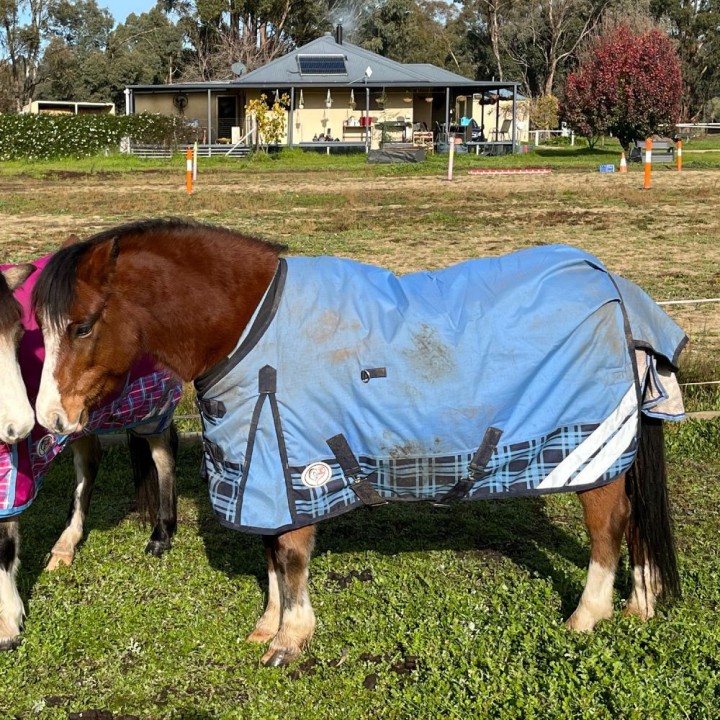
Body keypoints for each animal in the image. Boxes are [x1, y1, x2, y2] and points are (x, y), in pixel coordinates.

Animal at [0, 259, 181, 650]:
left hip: (149, 402)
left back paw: (161, 534)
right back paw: (65, 545)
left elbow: (3, 543)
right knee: (89, 461)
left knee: (163, 454)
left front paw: (7, 624)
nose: (20, 427)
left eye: (19, 335)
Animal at [31, 218, 686, 667]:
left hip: (592, 457)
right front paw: (269, 624)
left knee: (609, 526)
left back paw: (588, 615)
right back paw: (640, 604)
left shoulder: (290, 461)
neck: (249, 326)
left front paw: (291, 639)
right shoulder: (262, 468)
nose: (52, 418)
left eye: (82, 326)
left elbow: (291, 556)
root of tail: (616, 290)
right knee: (634, 521)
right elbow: (271, 552)